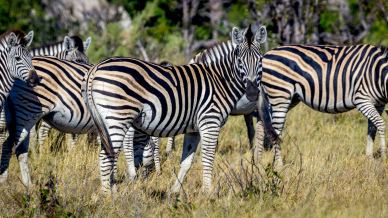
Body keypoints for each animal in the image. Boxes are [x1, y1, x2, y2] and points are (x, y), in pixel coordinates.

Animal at [84, 24, 266, 193]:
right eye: (240, 61)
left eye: (260, 61)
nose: (252, 93)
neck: (219, 80)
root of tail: (97, 66)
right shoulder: (210, 122)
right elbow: (208, 158)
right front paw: (208, 193)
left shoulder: (194, 129)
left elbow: (187, 162)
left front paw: (175, 192)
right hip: (118, 117)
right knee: (107, 156)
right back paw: (108, 196)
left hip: (108, 120)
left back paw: (112, 189)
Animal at [252, 44, 388, 167]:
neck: (378, 73)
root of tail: (265, 55)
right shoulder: (362, 99)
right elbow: (380, 124)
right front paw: (384, 156)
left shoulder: (379, 104)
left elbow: (372, 129)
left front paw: (370, 158)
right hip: (280, 95)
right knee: (275, 130)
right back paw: (279, 165)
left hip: (285, 98)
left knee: (262, 124)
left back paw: (258, 162)